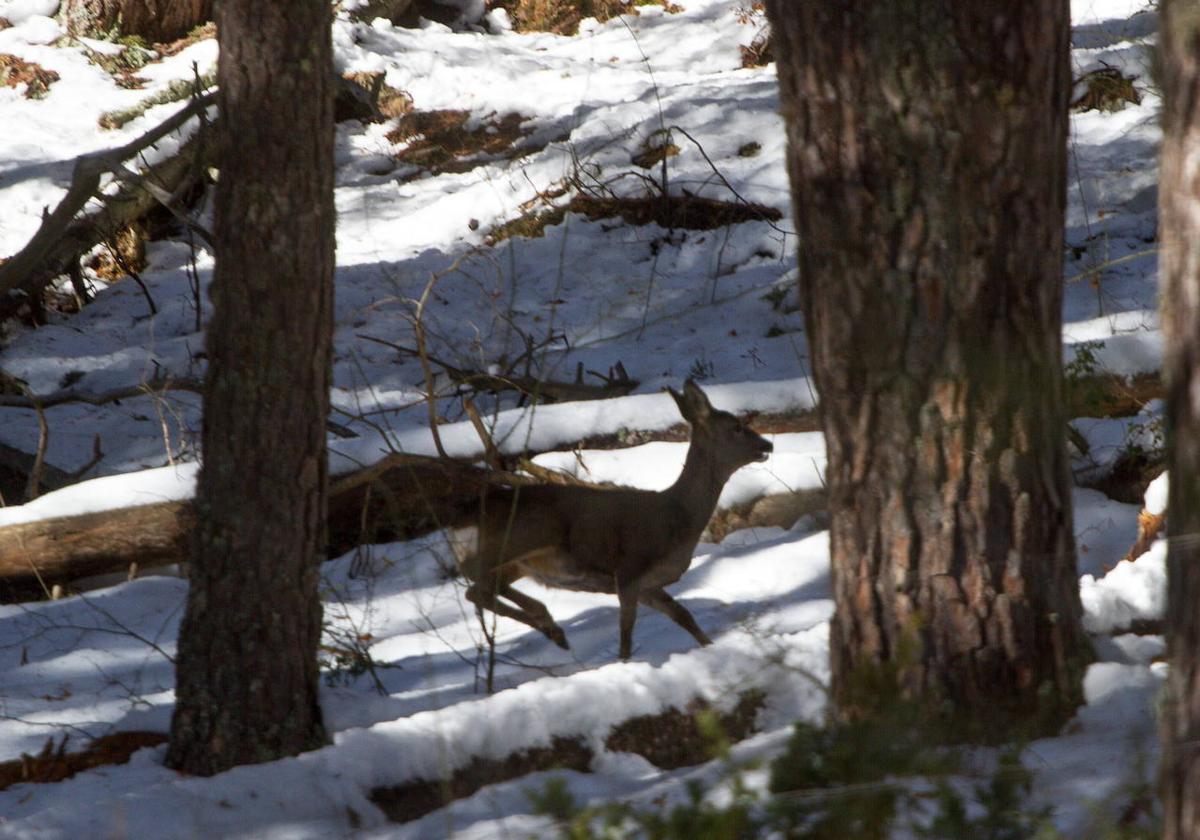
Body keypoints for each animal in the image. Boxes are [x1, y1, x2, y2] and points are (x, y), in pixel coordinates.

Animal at [453, 381, 772, 662]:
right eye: (736, 427)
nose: (767, 444)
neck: (677, 517)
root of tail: (467, 516)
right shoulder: (630, 569)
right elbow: (626, 635)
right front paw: (625, 664)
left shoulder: (647, 584)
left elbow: (684, 616)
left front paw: (712, 648)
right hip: (517, 541)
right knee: (475, 582)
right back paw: (550, 626)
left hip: (518, 563)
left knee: (480, 588)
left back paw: (552, 628)